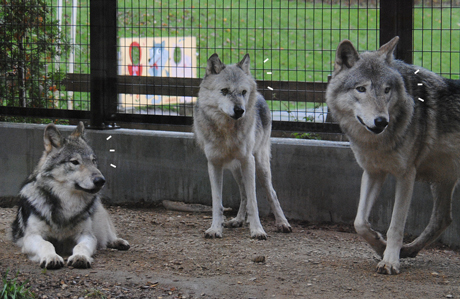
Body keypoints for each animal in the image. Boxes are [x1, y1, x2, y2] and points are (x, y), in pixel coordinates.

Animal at [11, 122, 129, 270]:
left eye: (93, 160)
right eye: (75, 162)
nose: (101, 180)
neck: (68, 202)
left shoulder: (87, 235)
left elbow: (81, 246)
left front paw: (80, 257)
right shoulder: (32, 237)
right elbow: (47, 244)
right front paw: (52, 257)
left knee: (107, 236)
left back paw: (118, 242)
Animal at [193, 54, 292, 240]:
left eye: (243, 92)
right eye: (224, 91)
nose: (240, 110)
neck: (227, 132)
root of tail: (260, 95)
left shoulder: (248, 161)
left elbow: (254, 202)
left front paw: (258, 230)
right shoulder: (214, 164)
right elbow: (217, 202)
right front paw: (215, 228)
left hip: (259, 166)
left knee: (271, 193)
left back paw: (282, 223)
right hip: (235, 169)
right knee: (243, 193)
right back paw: (238, 220)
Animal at [326, 36, 460, 276]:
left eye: (386, 89)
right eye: (361, 89)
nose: (381, 121)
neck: (377, 142)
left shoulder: (406, 175)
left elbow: (395, 226)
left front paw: (390, 261)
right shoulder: (373, 172)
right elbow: (360, 223)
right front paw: (380, 246)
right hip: (442, 180)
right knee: (443, 219)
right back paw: (409, 250)